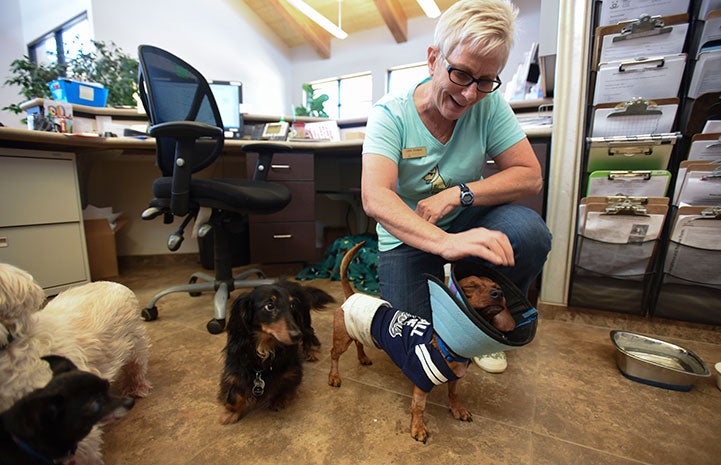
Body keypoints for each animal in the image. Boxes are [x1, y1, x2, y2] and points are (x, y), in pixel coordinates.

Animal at [218, 280, 334, 424]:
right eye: (270, 306)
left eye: (292, 305)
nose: (297, 336)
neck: (265, 348)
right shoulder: (235, 367)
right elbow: (234, 392)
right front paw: (230, 412)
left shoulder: (292, 371)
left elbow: (283, 383)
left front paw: (279, 399)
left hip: (303, 322)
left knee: (309, 332)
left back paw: (311, 351)